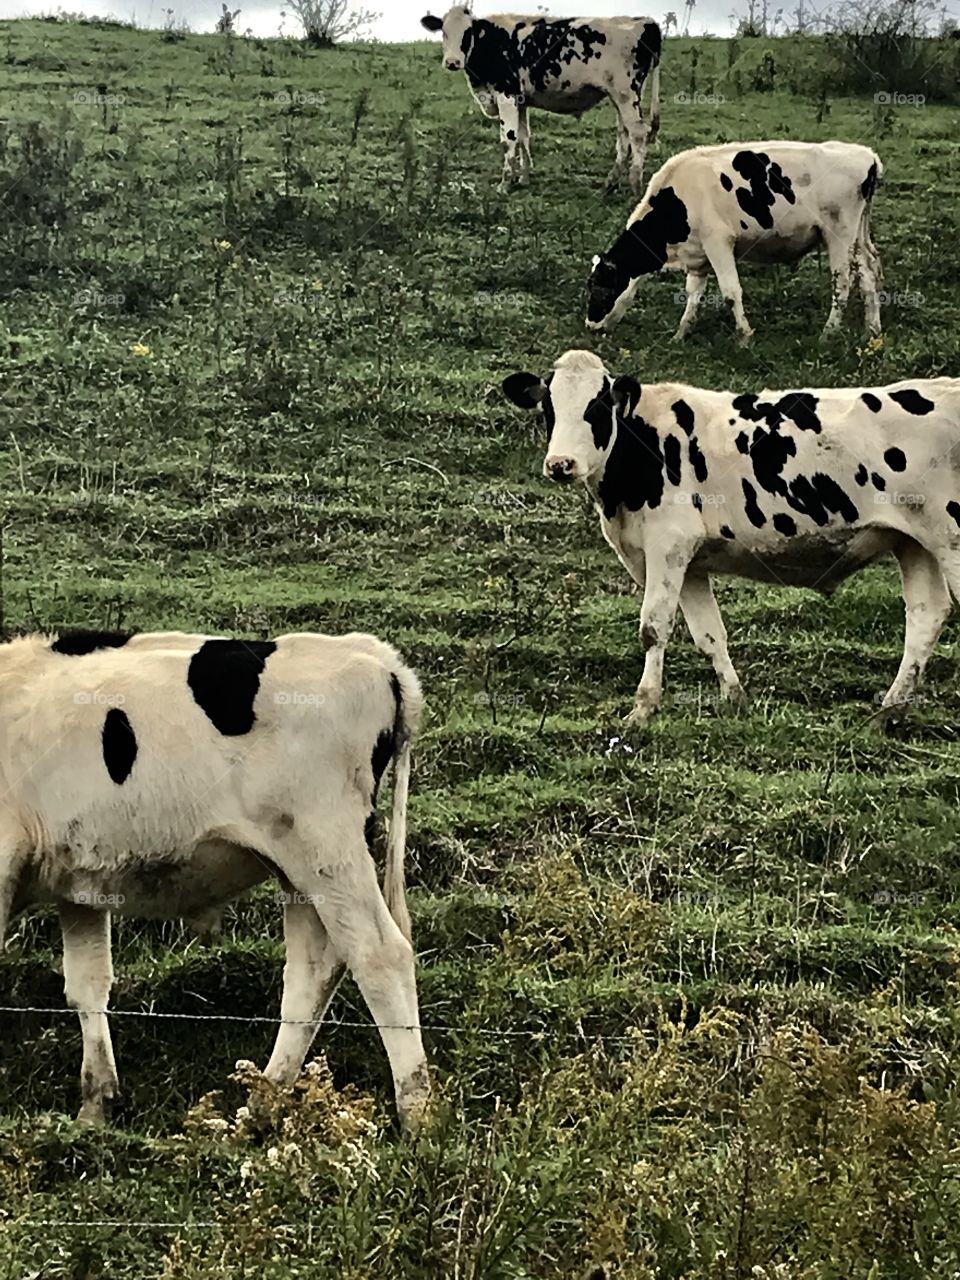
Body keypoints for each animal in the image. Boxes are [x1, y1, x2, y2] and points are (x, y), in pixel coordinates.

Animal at [0, 628, 430, 1133]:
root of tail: (372, 655)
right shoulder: (81, 883)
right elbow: (88, 985)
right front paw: (95, 1107)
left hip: (327, 848)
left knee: (379, 956)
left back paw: (419, 1113)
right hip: (301, 869)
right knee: (312, 971)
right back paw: (263, 1103)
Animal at [420, 6, 661, 193]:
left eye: (467, 33)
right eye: (444, 32)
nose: (452, 62)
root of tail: (645, 21)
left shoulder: (506, 94)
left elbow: (508, 140)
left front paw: (504, 184)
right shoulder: (520, 100)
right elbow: (523, 137)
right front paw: (523, 178)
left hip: (625, 94)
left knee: (638, 134)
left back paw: (635, 185)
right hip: (622, 97)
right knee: (624, 135)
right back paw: (610, 184)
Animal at [502, 349, 960, 724]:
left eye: (597, 408)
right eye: (548, 407)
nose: (561, 464)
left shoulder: (668, 545)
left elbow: (654, 626)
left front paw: (643, 709)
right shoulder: (687, 561)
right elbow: (709, 633)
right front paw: (734, 699)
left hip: (950, 539)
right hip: (913, 542)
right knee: (926, 615)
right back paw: (889, 711)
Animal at [586, 140, 883, 344]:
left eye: (600, 287)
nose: (590, 326)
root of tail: (866, 155)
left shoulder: (718, 242)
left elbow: (731, 292)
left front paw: (744, 336)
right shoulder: (699, 255)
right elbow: (693, 294)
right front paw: (681, 333)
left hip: (839, 236)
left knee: (842, 284)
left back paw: (828, 333)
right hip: (857, 238)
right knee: (869, 274)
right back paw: (872, 330)